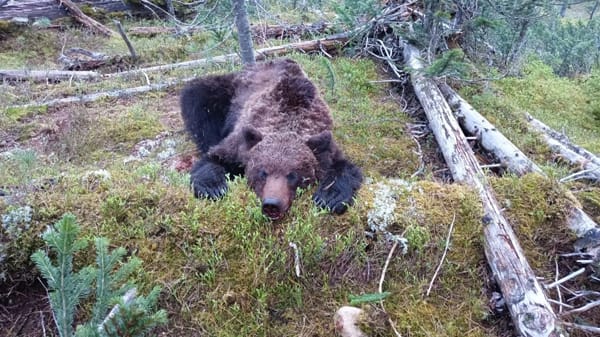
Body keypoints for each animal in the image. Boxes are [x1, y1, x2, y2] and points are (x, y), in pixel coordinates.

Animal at [180, 58, 364, 219]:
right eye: (263, 172)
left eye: (293, 174)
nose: (272, 204)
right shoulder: (240, 142)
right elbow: (214, 157)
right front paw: (213, 188)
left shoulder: (325, 142)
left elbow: (344, 167)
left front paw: (330, 198)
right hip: (228, 92)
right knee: (198, 97)